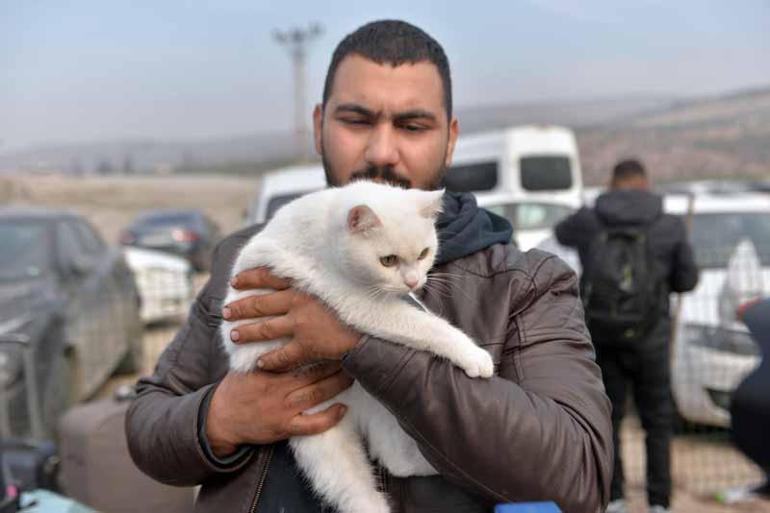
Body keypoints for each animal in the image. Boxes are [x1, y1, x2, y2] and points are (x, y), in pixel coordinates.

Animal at [219, 179, 492, 512]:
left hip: (383, 410)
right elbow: (425, 325)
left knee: (396, 458)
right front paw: (474, 354)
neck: (327, 228)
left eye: (424, 253)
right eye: (388, 260)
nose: (414, 281)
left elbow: (419, 310)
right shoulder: (359, 304)